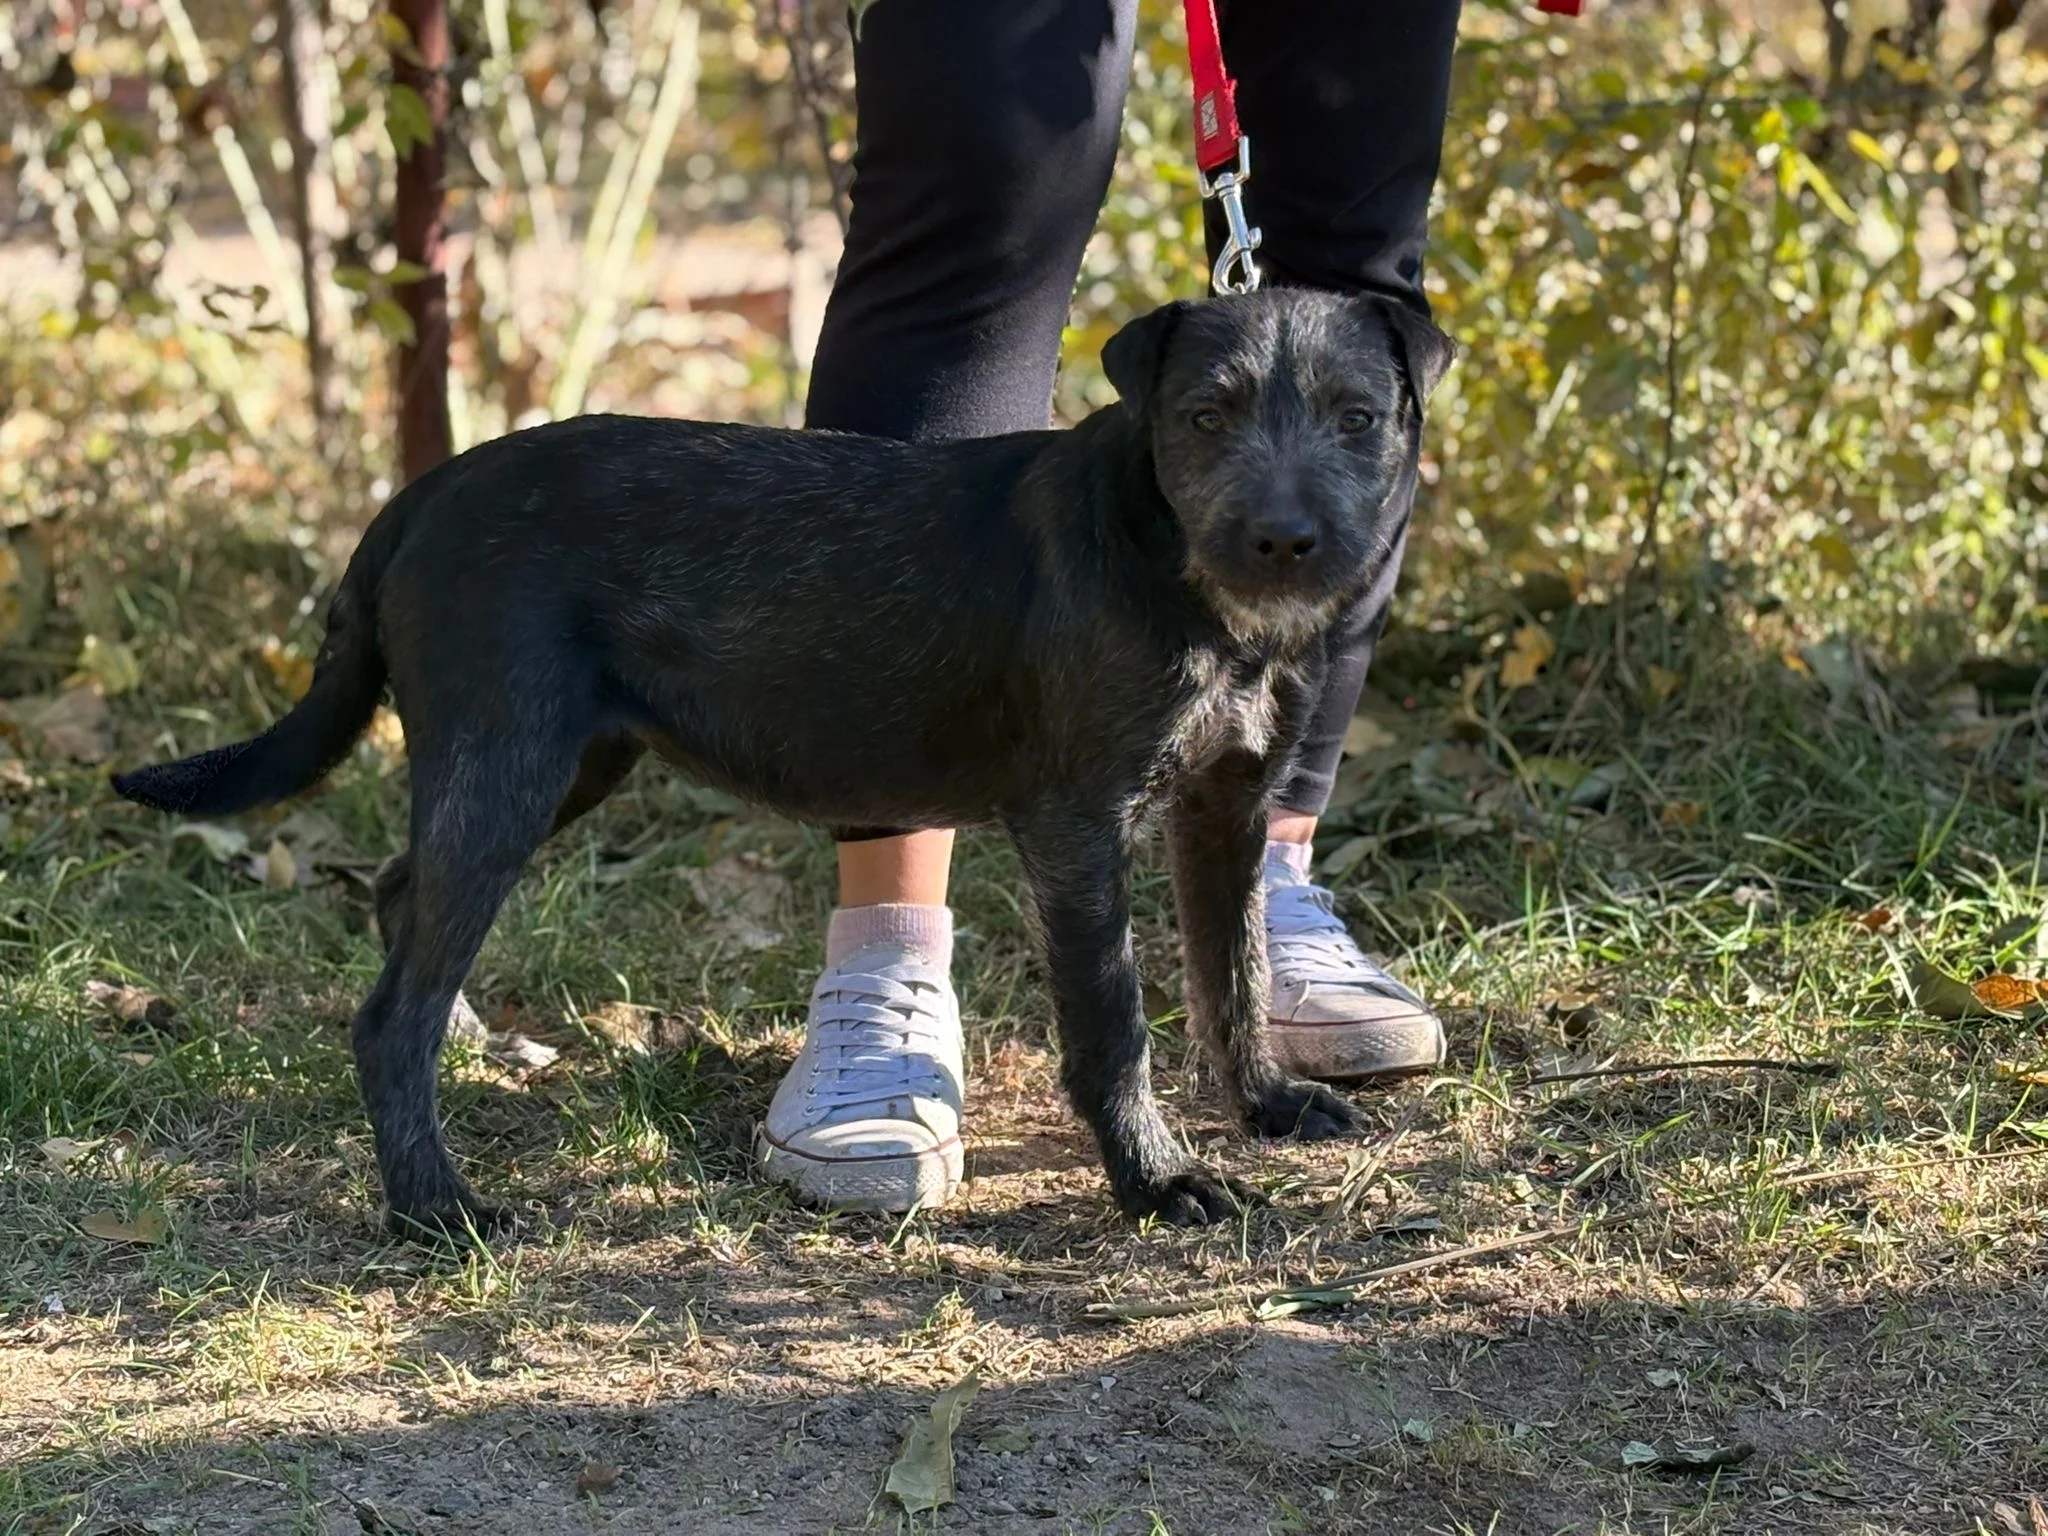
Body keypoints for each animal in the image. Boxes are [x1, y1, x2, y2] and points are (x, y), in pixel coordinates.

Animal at [113, 288, 1453, 1239]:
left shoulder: (1225, 810)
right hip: (509, 759)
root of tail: (414, 498)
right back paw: (434, 1208)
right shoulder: (1075, 826)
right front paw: (1156, 1180)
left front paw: (1265, 1105)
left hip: (565, 764)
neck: (1171, 565)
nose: (1283, 540)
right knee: (392, 1009)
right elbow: (1114, 1017)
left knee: (404, 902)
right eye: (1204, 415)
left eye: (1356, 416)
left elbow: (1232, 975)